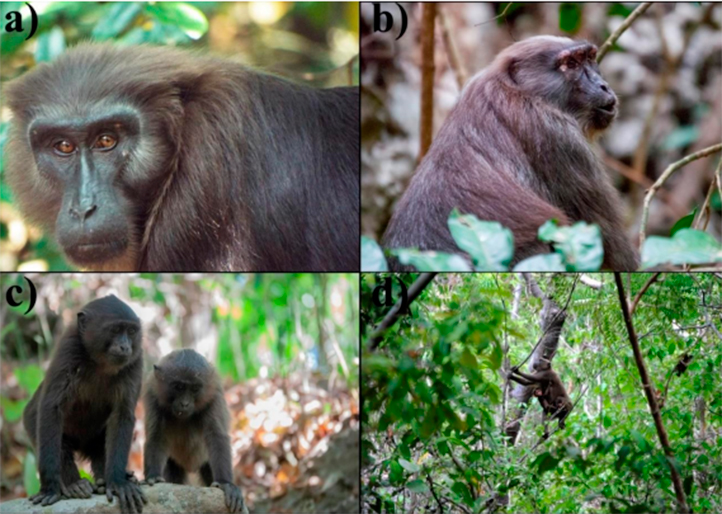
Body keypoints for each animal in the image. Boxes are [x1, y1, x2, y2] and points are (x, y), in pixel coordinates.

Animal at [23, 295, 146, 514]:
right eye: (115, 330)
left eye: (131, 331)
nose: (125, 346)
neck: (101, 364)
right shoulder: (69, 349)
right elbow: (51, 408)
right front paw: (50, 487)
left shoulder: (136, 360)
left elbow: (122, 414)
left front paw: (118, 482)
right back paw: (74, 485)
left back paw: (105, 481)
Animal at [143, 349, 248, 514]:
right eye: (179, 387)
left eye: (194, 389)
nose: (185, 404)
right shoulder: (153, 394)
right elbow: (156, 436)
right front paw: (153, 476)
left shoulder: (214, 395)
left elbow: (217, 436)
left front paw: (225, 483)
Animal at [383, 36, 639, 271]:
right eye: (570, 64)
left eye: (590, 58)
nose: (602, 85)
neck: (515, 89)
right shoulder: (556, 135)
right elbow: (618, 256)